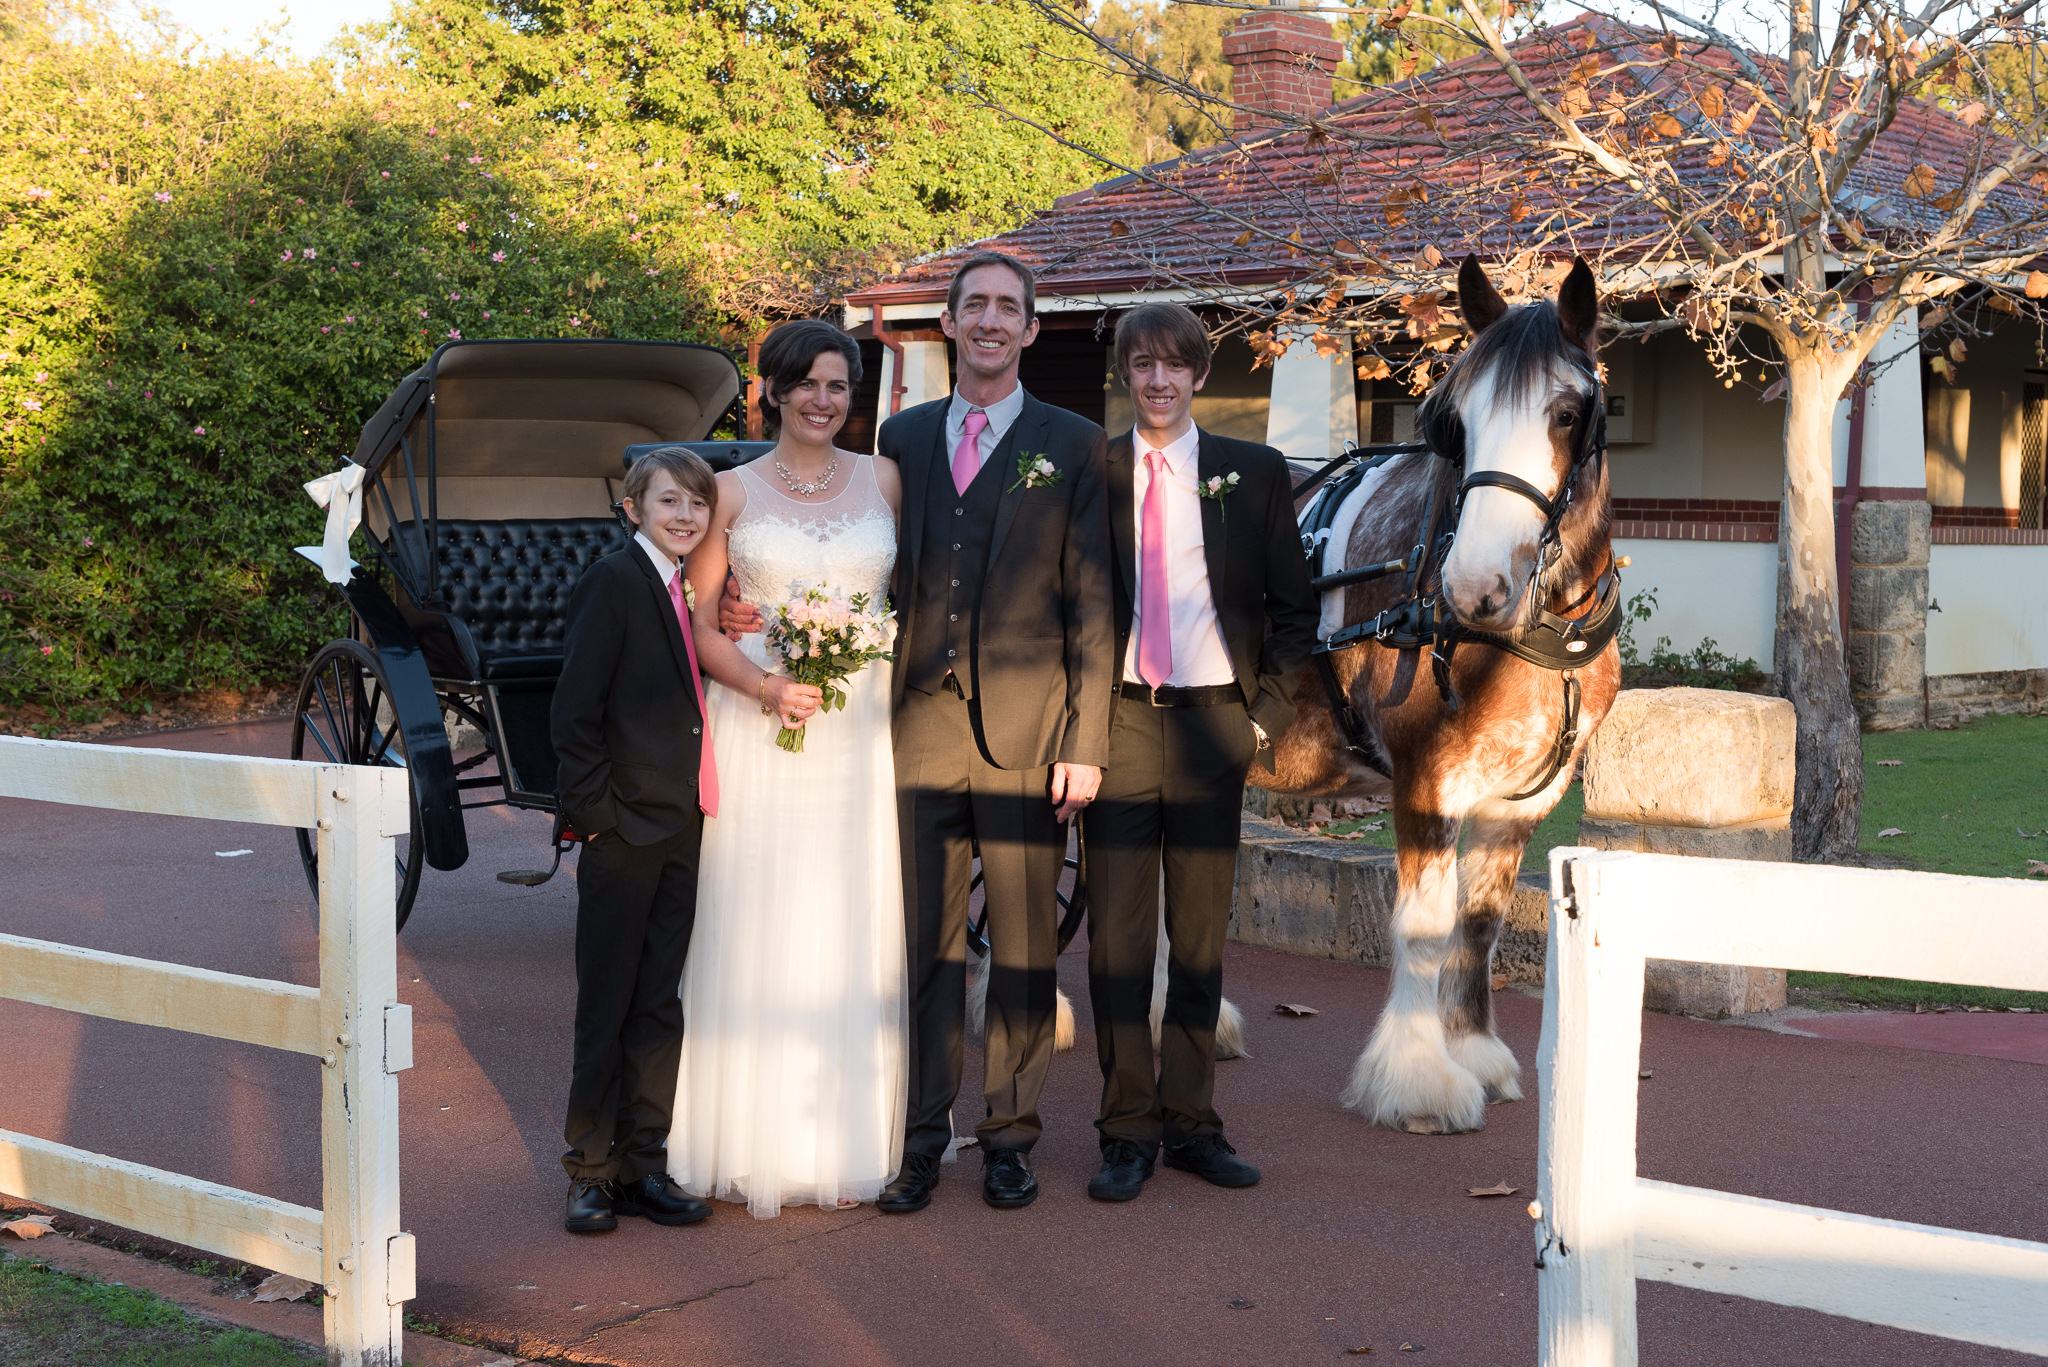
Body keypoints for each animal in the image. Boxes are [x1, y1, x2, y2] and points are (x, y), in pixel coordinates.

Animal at [1253, 254, 1622, 1131]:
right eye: (1455, 420)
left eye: (1567, 414)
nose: (1473, 586)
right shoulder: (1426, 780)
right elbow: (1423, 925)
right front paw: (1417, 1077)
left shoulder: (1521, 798)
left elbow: (1478, 922)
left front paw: (1474, 1050)